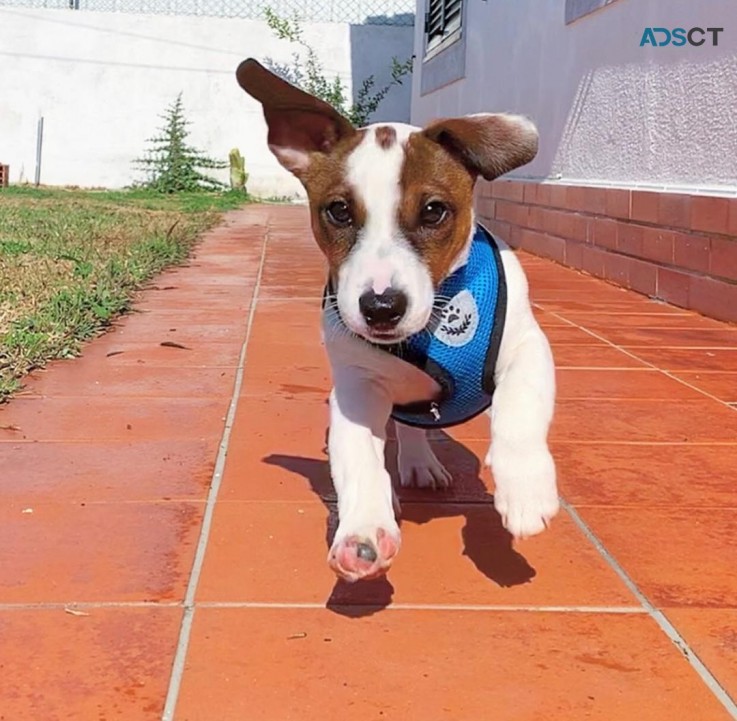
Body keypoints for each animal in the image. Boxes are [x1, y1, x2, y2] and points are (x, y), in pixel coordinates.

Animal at [236, 59, 556, 584]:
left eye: (434, 211)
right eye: (339, 211)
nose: (381, 307)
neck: (427, 333)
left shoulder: (527, 346)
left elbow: (520, 406)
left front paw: (525, 485)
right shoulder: (356, 391)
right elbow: (359, 460)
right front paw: (363, 530)